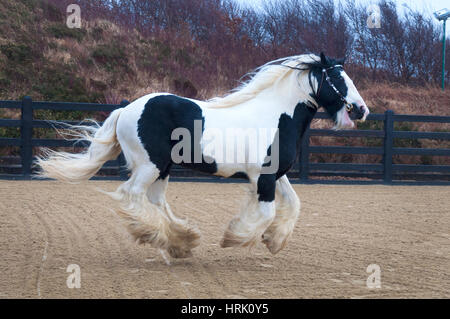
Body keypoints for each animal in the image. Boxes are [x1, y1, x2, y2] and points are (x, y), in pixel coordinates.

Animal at [37, 52, 370, 258]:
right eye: (338, 79)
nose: (362, 110)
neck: (277, 115)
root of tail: (126, 109)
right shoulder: (262, 178)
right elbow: (266, 213)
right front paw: (236, 237)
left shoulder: (275, 174)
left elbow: (295, 203)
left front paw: (274, 241)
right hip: (149, 166)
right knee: (131, 196)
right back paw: (161, 236)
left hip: (163, 168)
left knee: (155, 200)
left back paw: (182, 241)